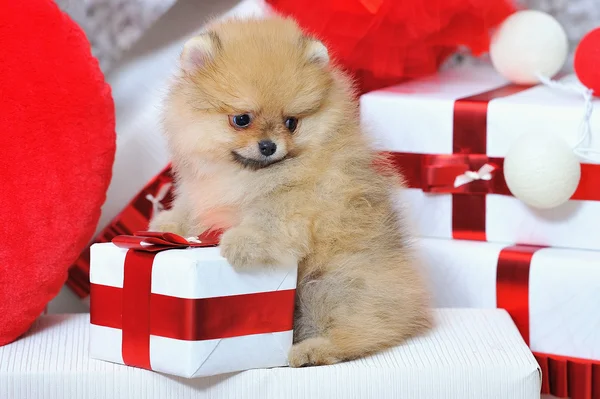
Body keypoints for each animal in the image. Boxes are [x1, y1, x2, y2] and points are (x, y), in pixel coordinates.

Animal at [149, 15, 432, 368]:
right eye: (241, 119)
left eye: (291, 122)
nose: (269, 146)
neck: (247, 174)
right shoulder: (202, 189)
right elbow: (188, 208)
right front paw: (165, 224)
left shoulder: (294, 203)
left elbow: (266, 220)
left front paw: (239, 242)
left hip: (333, 286)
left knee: (362, 332)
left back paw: (312, 351)